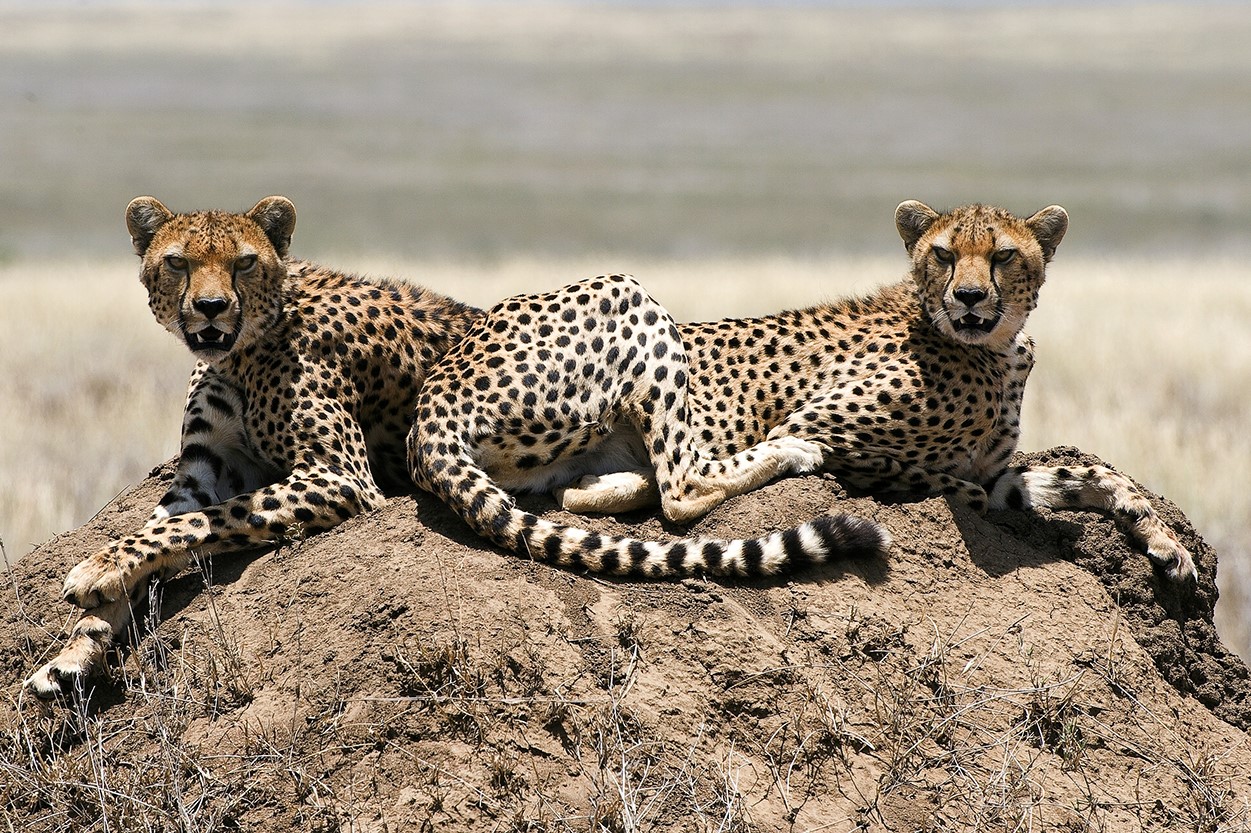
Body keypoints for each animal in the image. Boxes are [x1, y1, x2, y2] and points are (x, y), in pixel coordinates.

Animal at [26, 197, 887, 699]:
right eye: (177, 261)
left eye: (243, 261)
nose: (208, 309)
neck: (245, 344)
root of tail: (432, 420)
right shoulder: (202, 474)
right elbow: (162, 530)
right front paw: (72, 652)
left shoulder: (339, 477)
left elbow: (186, 527)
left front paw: (92, 574)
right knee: (632, 489)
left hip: (622, 290)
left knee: (684, 488)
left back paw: (795, 446)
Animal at [410, 200, 1194, 585]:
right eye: (943, 254)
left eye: (1003, 255)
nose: (970, 297)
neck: (993, 349)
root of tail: (434, 391)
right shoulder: (848, 436)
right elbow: (939, 478)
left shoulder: (998, 472)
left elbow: (1090, 475)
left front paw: (1163, 543)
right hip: (622, 288)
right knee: (683, 487)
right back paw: (781, 459)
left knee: (588, 495)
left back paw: (607, 485)